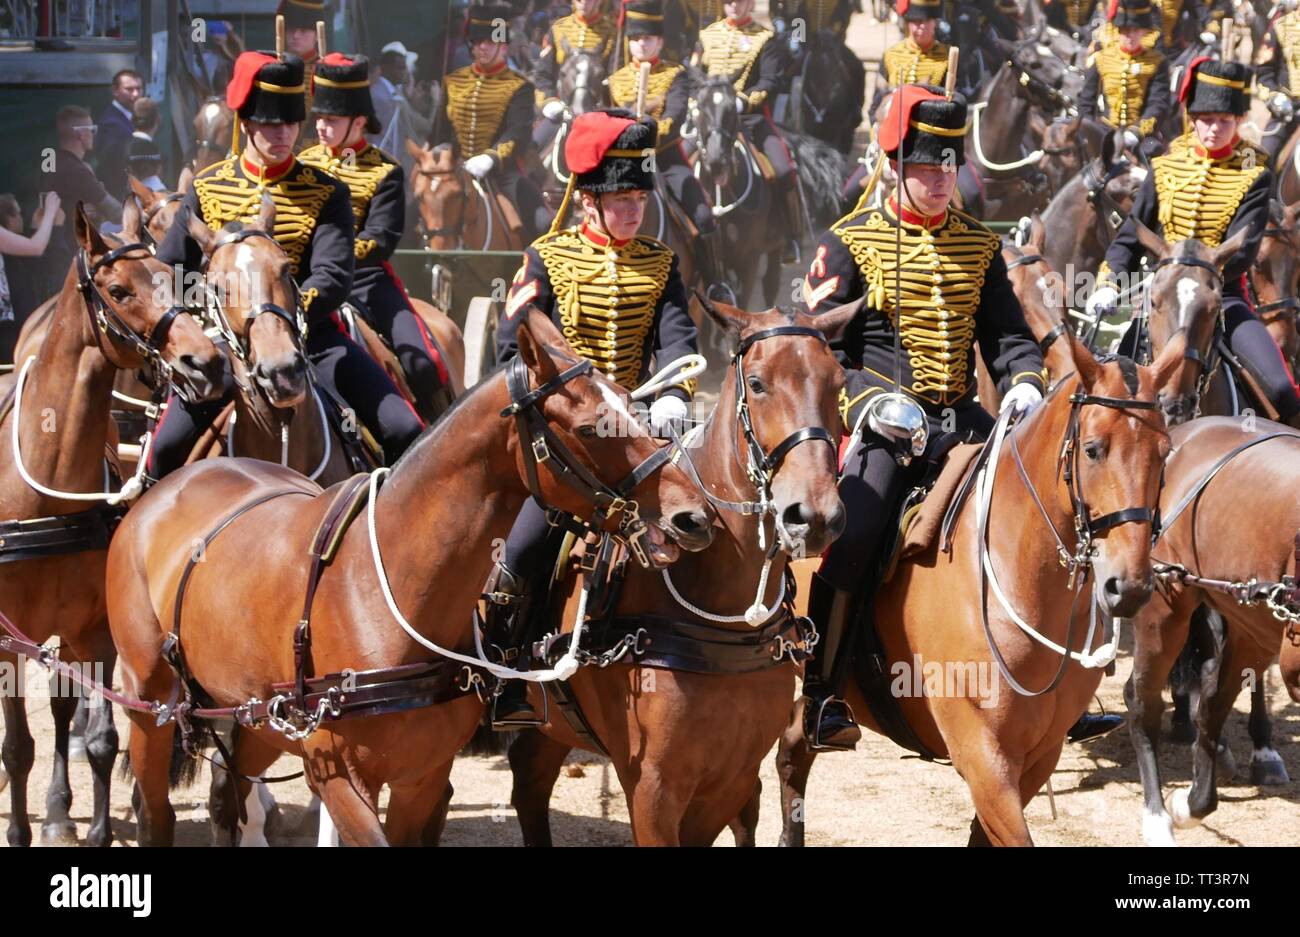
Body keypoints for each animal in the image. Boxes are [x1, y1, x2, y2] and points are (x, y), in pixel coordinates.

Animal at [0, 201, 226, 842]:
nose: (206, 361)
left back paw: (58, 811)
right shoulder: (8, 640)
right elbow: (16, 748)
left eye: (172, 278)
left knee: (62, 708)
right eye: (119, 290)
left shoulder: (94, 627)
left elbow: (100, 741)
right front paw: (20, 829)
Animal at [105, 309, 717, 847]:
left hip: (260, 719)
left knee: (227, 794)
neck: (388, 594)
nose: (693, 515)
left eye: (636, 410)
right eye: (591, 427)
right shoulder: (337, 777)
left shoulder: (420, 778)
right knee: (154, 810)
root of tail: (167, 487)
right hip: (149, 702)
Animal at [764, 331, 1190, 847]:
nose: (1128, 585)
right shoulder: (983, 757)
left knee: (792, 750)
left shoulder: (1039, 756)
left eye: (1164, 452)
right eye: (1092, 449)